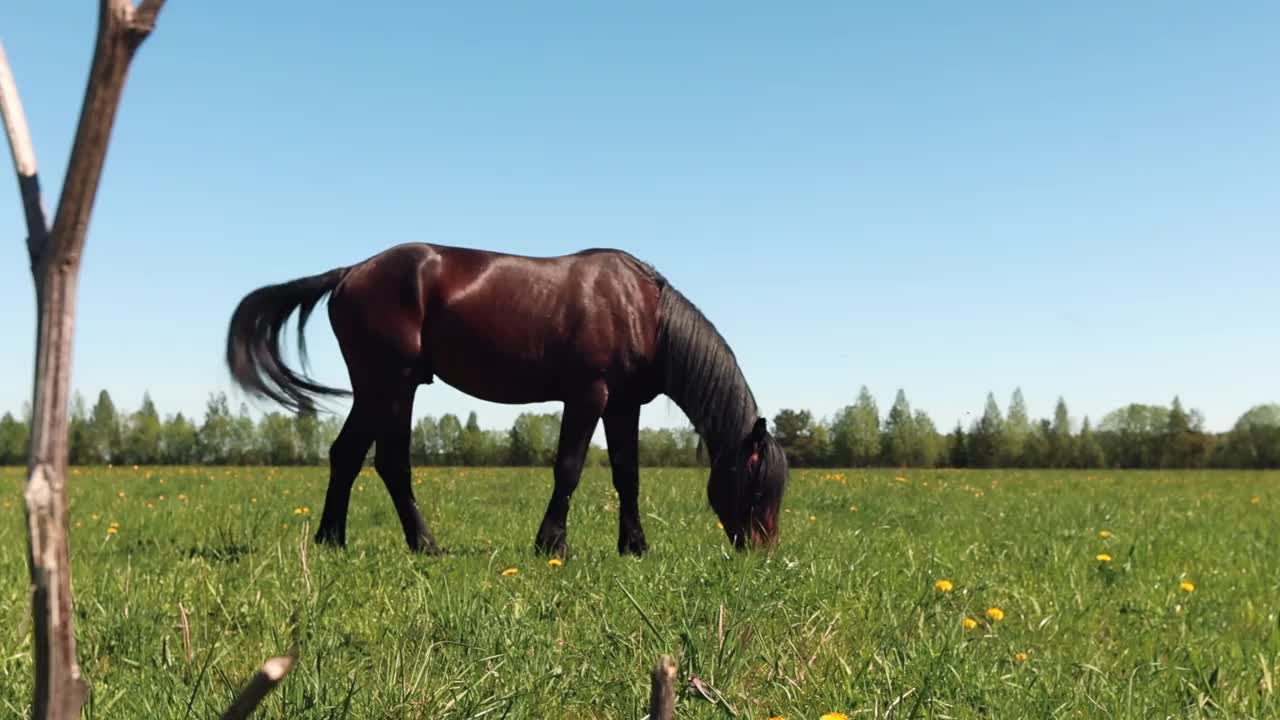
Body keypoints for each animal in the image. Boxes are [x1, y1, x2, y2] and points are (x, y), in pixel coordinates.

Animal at [227, 240, 788, 556]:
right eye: (758, 485)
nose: (762, 552)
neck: (643, 310)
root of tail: (349, 273)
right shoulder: (588, 393)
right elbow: (569, 468)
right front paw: (551, 544)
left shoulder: (624, 403)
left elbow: (627, 475)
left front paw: (634, 546)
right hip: (394, 384)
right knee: (390, 462)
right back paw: (425, 545)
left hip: (375, 388)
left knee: (346, 455)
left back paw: (332, 539)